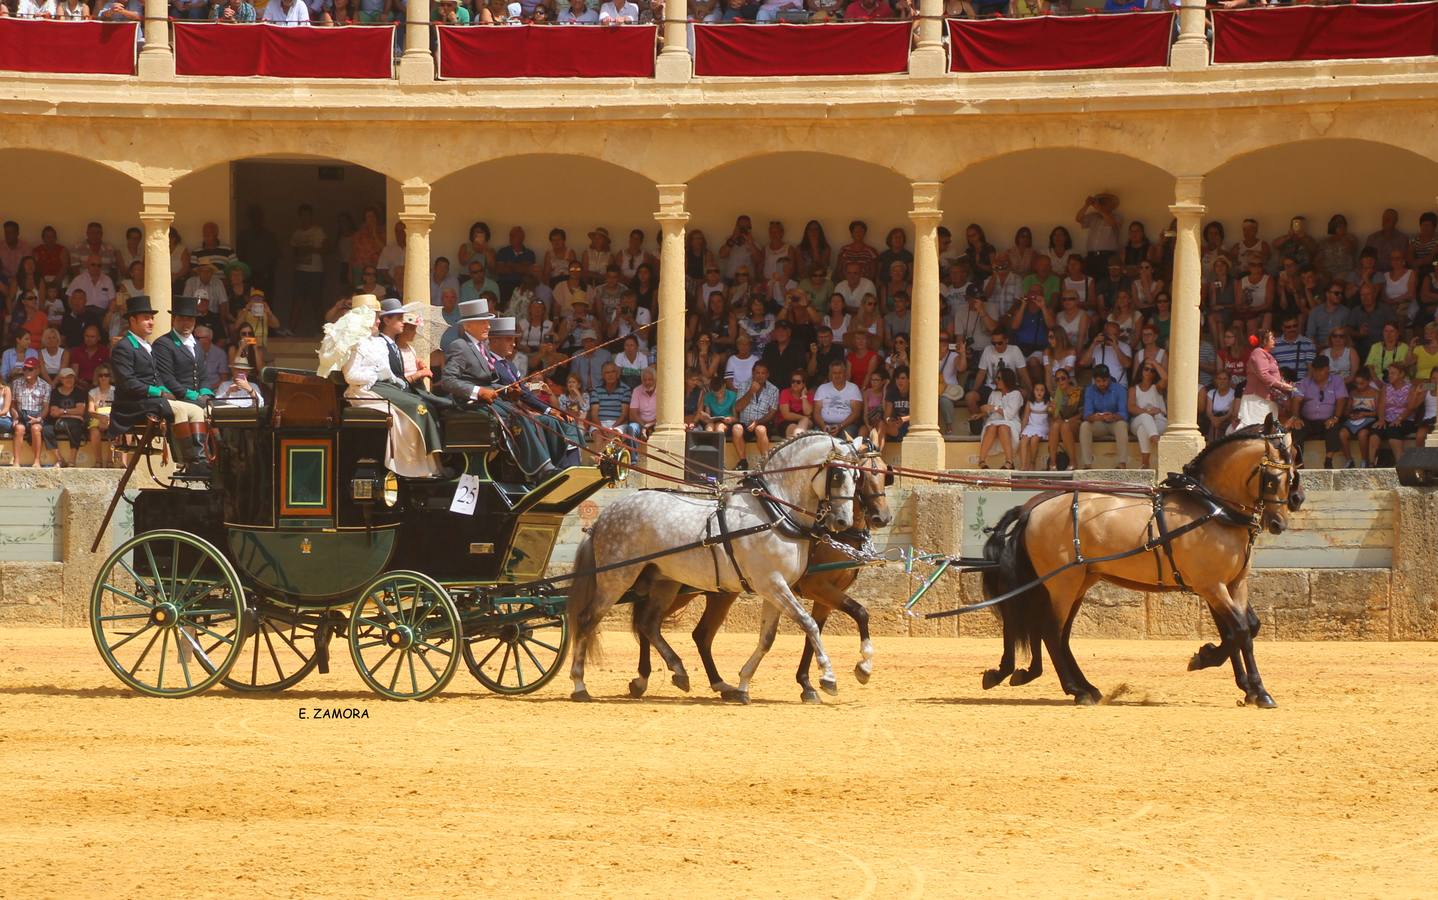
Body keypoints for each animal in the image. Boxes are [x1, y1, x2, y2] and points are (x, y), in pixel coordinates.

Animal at [977, 414, 1305, 707]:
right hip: (1062, 583)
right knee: (1050, 631)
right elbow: (1240, 631)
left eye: (1292, 470)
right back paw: (1076, 690)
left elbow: (1244, 628)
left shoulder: (1232, 584)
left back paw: (1083, 686)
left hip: (1078, 582)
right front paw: (1255, 689)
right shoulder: (1212, 586)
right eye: (1273, 478)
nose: (1280, 521)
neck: (1212, 508)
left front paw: (1238, 680)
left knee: (1060, 634)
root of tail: (1033, 508)